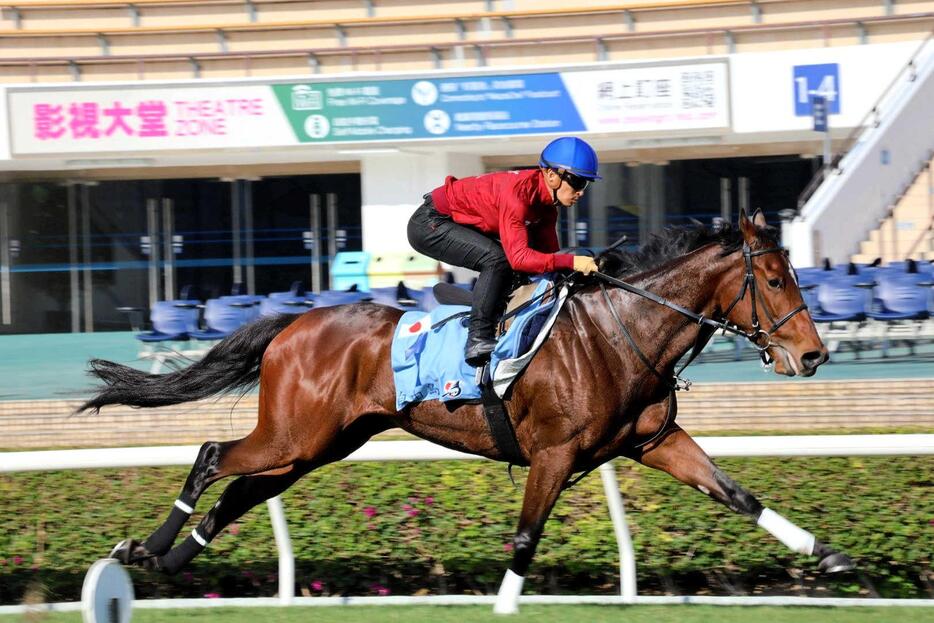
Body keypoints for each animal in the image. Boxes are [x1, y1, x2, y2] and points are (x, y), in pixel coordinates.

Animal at [80, 212, 856, 616]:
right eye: (776, 279)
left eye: (795, 275)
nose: (813, 354)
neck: (621, 332)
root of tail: (293, 322)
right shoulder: (555, 454)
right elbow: (526, 536)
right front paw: (505, 605)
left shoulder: (654, 439)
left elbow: (738, 494)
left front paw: (832, 556)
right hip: (293, 433)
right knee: (214, 455)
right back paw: (143, 548)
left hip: (317, 444)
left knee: (240, 490)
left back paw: (167, 559)